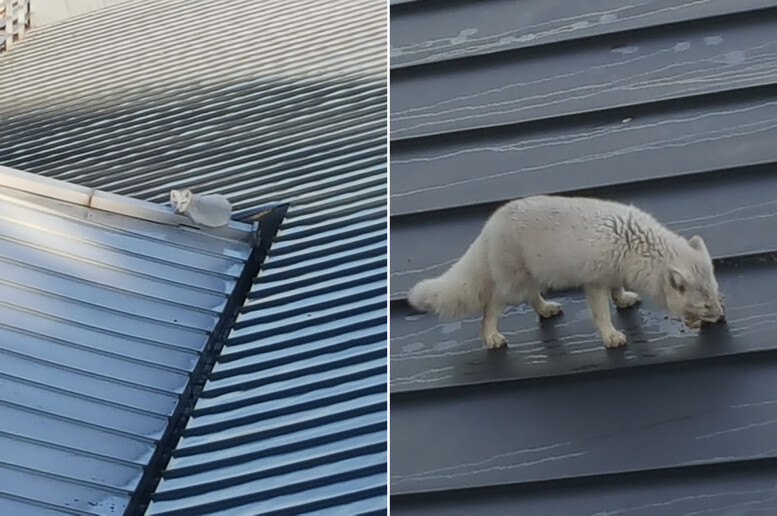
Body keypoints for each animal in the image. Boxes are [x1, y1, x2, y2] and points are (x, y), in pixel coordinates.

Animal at [410, 196, 724, 348]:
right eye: (705, 306)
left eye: (717, 296)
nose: (722, 318)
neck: (633, 245)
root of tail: (488, 227)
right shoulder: (594, 282)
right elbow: (601, 314)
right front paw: (611, 337)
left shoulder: (613, 273)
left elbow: (617, 291)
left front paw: (623, 300)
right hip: (511, 287)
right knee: (491, 307)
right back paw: (490, 337)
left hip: (534, 278)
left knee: (533, 297)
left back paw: (546, 309)